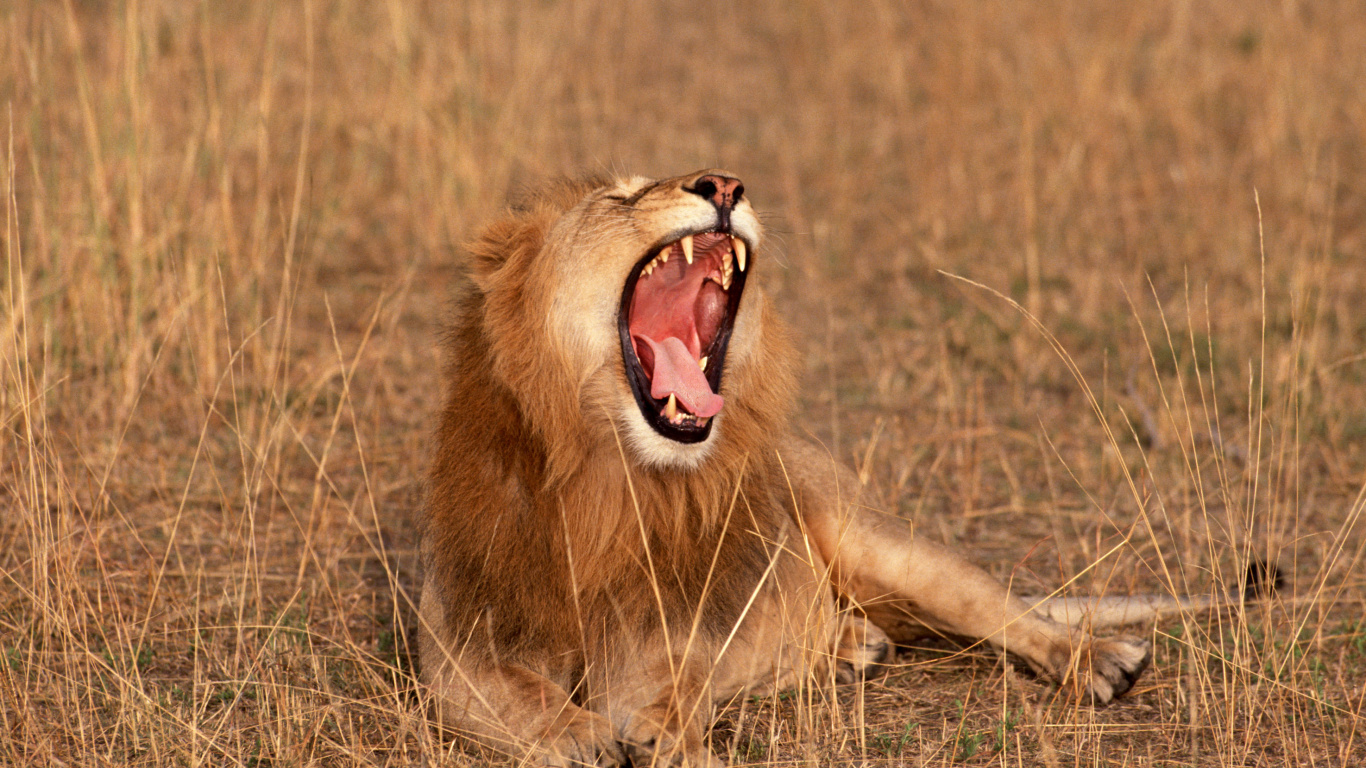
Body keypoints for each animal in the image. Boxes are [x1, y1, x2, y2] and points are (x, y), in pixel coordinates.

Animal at [418, 170, 1205, 766]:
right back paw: (853, 646)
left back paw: (1100, 660)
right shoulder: (458, 640)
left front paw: (665, 733)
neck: (607, 478)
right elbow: (511, 691)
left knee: (1006, 611)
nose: (724, 183)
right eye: (622, 197)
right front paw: (574, 732)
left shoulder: (675, 629)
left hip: (881, 543)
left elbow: (678, 682)